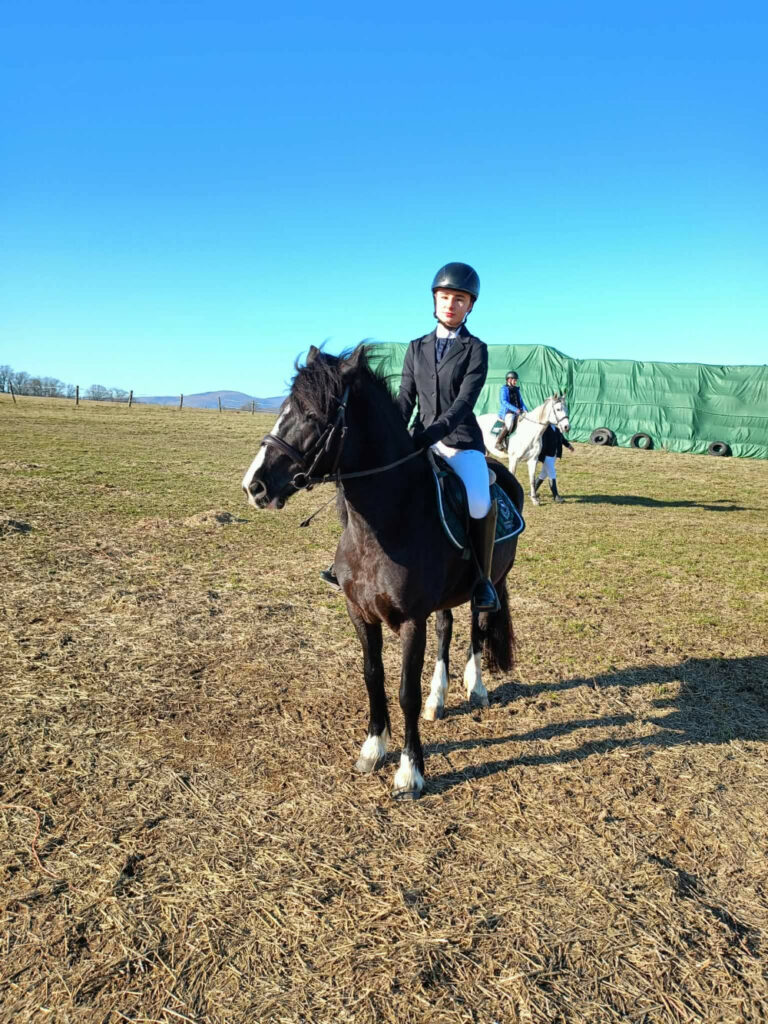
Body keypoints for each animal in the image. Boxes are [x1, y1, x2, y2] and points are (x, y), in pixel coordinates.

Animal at [242, 344, 524, 800]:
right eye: (283, 408)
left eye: (314, 416)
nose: (254, 486)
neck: (385, 523)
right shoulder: (359, 613)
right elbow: (372, 676)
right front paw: (373, 748)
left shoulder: (411, 620)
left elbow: (405, 690)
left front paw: (410, 773)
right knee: (446, 627)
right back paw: (437, 699)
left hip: (493, 582)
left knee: (478, 628)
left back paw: (476, 687)